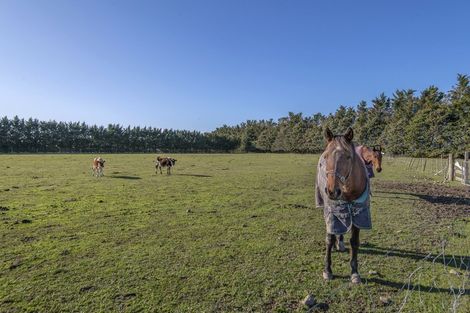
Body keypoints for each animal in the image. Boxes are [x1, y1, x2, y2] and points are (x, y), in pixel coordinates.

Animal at [316, 127, 370, 282]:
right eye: (326, 156)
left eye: (348, 157)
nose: (332, 191)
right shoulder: (332, 211)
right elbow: (329, 238)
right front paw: (327, 270)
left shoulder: (359, 212)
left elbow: (354, 241)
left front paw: (355, 272)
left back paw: (339, 244)